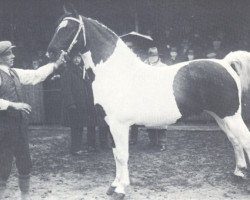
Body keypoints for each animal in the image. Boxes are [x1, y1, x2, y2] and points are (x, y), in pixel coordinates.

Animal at [47, 8, 250, 199]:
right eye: (57, 26)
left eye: (69, 28)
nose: (50, 52)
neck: (117, 72)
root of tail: (225, 63)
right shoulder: (110, 125)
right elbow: (116, 154)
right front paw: (113, 186)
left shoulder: (119, 125)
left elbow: (123, 155)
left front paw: (121, 189)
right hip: (220, 116)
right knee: (234, 140)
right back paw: (238, 173)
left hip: (231, 115)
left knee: (244, 140)